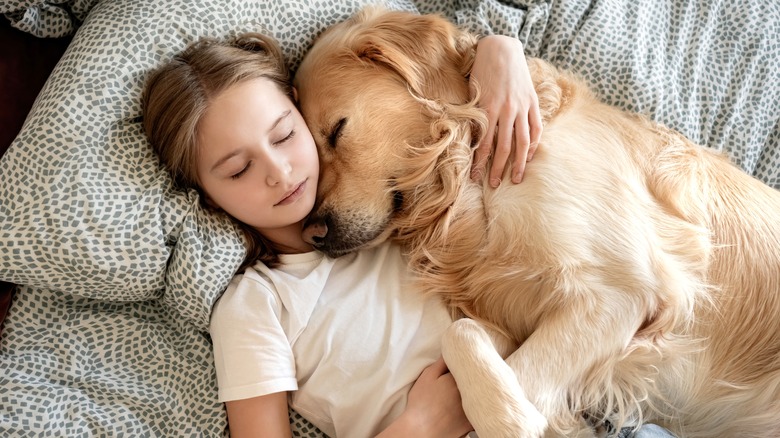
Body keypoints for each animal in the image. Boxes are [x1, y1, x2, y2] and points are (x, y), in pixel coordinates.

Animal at [292, 6, 780, 438]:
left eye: (336, 131)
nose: (313, 232)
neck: (469, 177)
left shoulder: (621, 294)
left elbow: (519, 381)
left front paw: (516, 422)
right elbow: (460, 332)